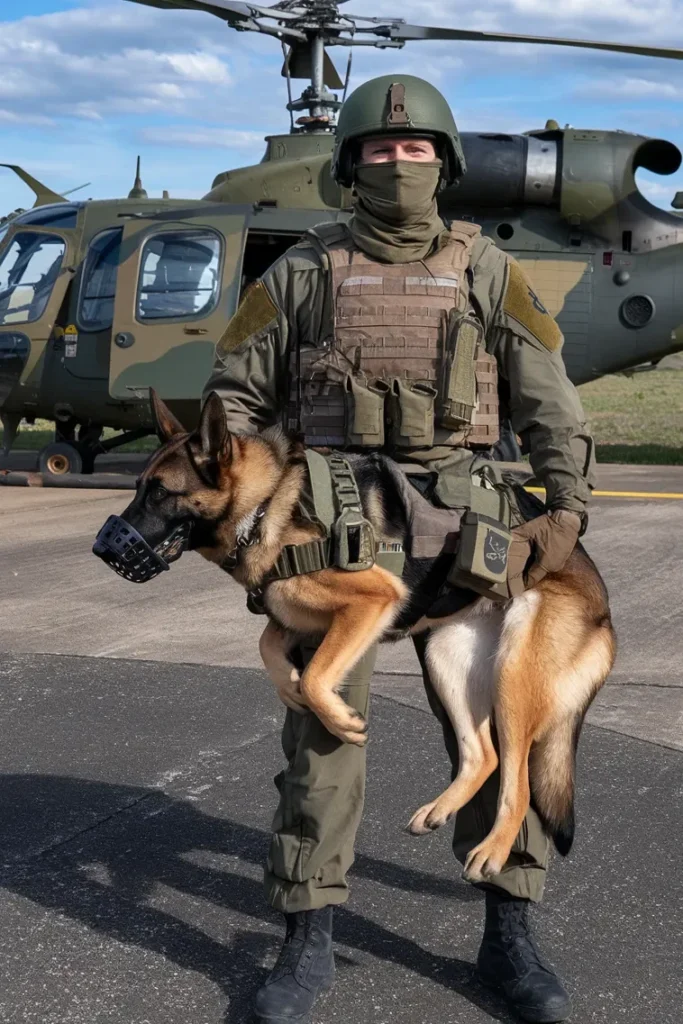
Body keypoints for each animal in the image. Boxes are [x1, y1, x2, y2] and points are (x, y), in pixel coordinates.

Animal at [97, 391, 618, 880]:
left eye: (161, 493)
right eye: (139, 487)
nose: (102, 547)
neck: (267, 503)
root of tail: (605, 613)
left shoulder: (372, 600)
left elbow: (315, 676)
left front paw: (338, 718)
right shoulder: (295, 617)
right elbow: (268, 646)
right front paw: (290, 688)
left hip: (511, 678)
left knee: (519, 780)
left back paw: (493, 849)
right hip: (446, 657)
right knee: (483, 754)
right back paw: (440, 809)